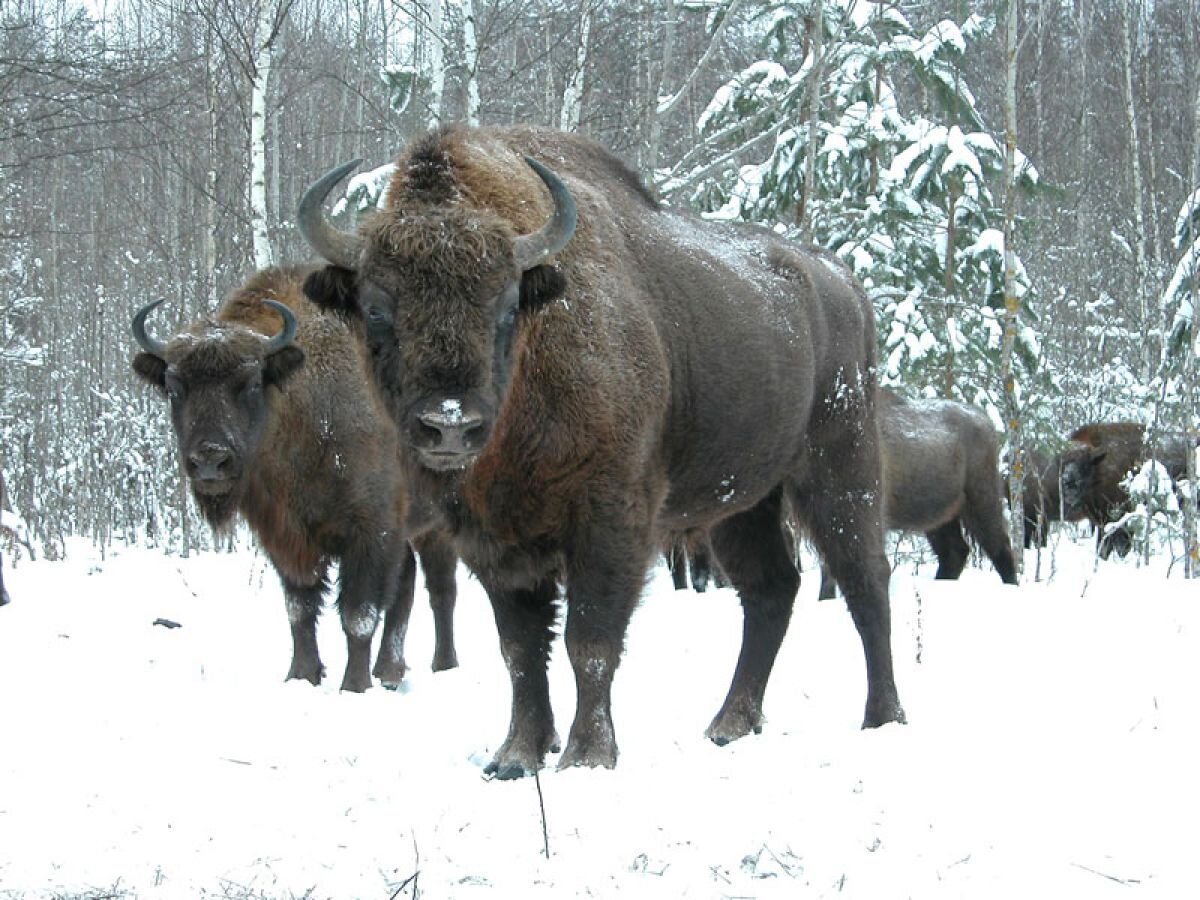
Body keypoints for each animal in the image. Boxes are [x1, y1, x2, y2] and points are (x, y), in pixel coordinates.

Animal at [130, 266, 458, 691]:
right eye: (174, 387)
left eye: (251, 382)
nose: (210, 460)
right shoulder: (285, 537)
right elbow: (299, 609)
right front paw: (302, 676)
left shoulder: (371, 531)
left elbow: (358, 614)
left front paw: (353, 686)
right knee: (408, 584)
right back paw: (390, 671)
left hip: (439, 524)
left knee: (440, 590)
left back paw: (443, 665)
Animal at [297, 123, 902, 777]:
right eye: (376, 309)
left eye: (505, 306)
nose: (449, 424)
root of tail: (843, 284)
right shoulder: (493, 542)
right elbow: (520, 649)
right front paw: (516, 756)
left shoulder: (610, 518)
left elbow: (588, 640)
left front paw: (587, 756)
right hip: (743, 503)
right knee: (772, 588)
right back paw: (730, 724)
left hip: (839, 467)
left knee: (866, 582)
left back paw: (882, 717)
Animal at [1056, 422, 1195, 556]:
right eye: (1063, 463)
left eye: (1085, 463)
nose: (1067, 482)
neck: (1101, 467)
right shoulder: (1103, 523)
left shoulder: (1122, 520)